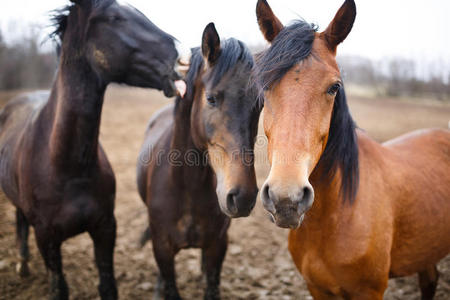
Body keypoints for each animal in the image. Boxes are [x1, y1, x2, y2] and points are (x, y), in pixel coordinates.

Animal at [0, 1, 189, 298]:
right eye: (114, 18)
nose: (183, 59)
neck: (67, 166)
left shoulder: (105, 229)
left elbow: (108, 285)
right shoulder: (47, 240)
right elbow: (59, 288)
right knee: (20, 221)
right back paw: (22, 263)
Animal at [135, 24, 260, 300]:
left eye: (260, 105)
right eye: (211, 99)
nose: (243, 196)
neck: (187, 188)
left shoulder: (217, 246)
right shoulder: (162, 248)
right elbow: (170, 284)